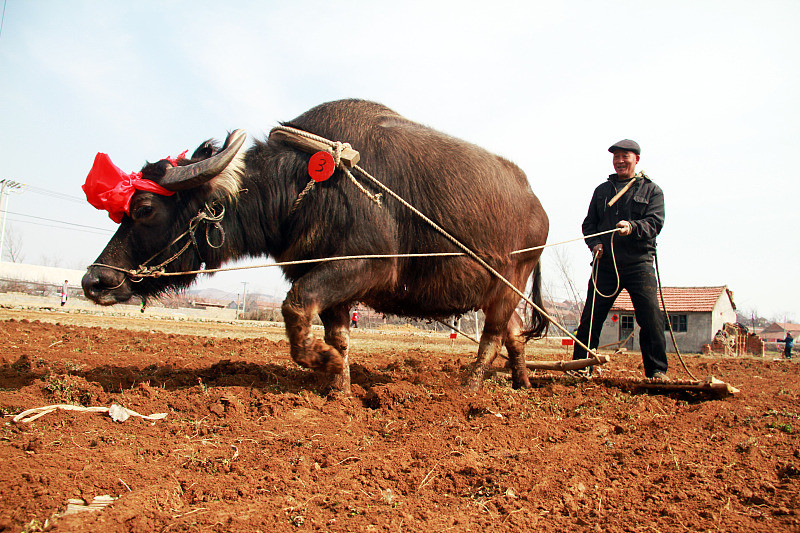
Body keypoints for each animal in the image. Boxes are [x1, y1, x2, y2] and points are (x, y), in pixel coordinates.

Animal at [81, 101, 548, 390]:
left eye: (144, 208)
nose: (94, 281)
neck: (303, 185)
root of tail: (538, 209)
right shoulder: (326, 276)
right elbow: (337, 334)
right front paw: (338, 383)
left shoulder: (366, 266)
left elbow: (294, 307)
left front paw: (321, 362)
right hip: (499, 290)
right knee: (514, 334)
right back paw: (523, 384)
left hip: (509, 282)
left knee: (492, 336)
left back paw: (470, 388)